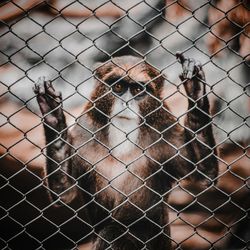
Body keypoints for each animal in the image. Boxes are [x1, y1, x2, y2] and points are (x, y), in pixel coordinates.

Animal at [33, 53, 219, 249]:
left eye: (137, 89)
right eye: (118, 87)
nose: (126, 102)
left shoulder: (165, 132)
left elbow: (205, 174)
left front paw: (196, 90)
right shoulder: (84, 133)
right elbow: (63, 191)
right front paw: (52, 113)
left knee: (114, 232)